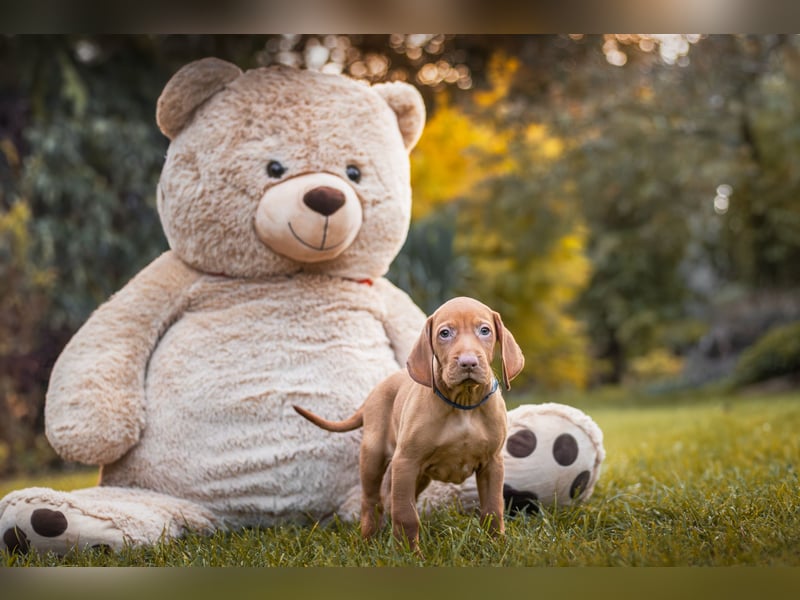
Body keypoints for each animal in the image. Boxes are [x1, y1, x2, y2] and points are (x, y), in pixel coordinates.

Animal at [294, 296, 524, 552]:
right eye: (445, 333)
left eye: (485, 330)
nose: (468, 363)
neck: (464, 404)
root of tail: (375, 391)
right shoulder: (406, 461)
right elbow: (406, 515)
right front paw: (409, 553)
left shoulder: (492, 463)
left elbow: (493, 509)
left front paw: (496, 546)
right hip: (374, 457)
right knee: (372, 500)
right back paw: (368, 540)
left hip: (417, 475)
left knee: (388, 499)